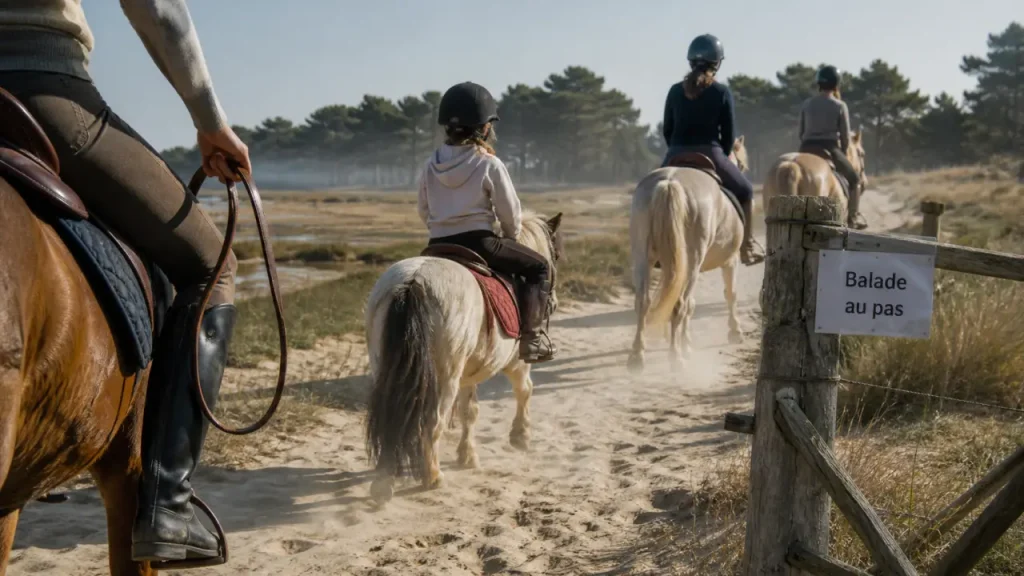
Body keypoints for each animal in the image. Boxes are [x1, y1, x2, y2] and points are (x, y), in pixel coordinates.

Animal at [364, 211, 563, 504]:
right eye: (555, 257)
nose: (554, 303)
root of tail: (412, 282)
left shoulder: (469, 373)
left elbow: (470, 411)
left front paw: (467, 455)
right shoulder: (517, 362)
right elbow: (524, 390)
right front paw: (521, 435)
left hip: (386, 368)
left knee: (391, 415)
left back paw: (383, 481)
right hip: (444, 378)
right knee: (432, 422)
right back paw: (432, 477)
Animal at [626, 137, 752, 374]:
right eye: (741, 163)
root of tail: (669, 183)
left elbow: (689, 304)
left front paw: (685, 343)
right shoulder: (730, 262)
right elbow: (730, 294)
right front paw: (734, 332)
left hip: (644, 258)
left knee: (643, 302)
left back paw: (637, 356)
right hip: (692, 262)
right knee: (679, 304)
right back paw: (675, 358)